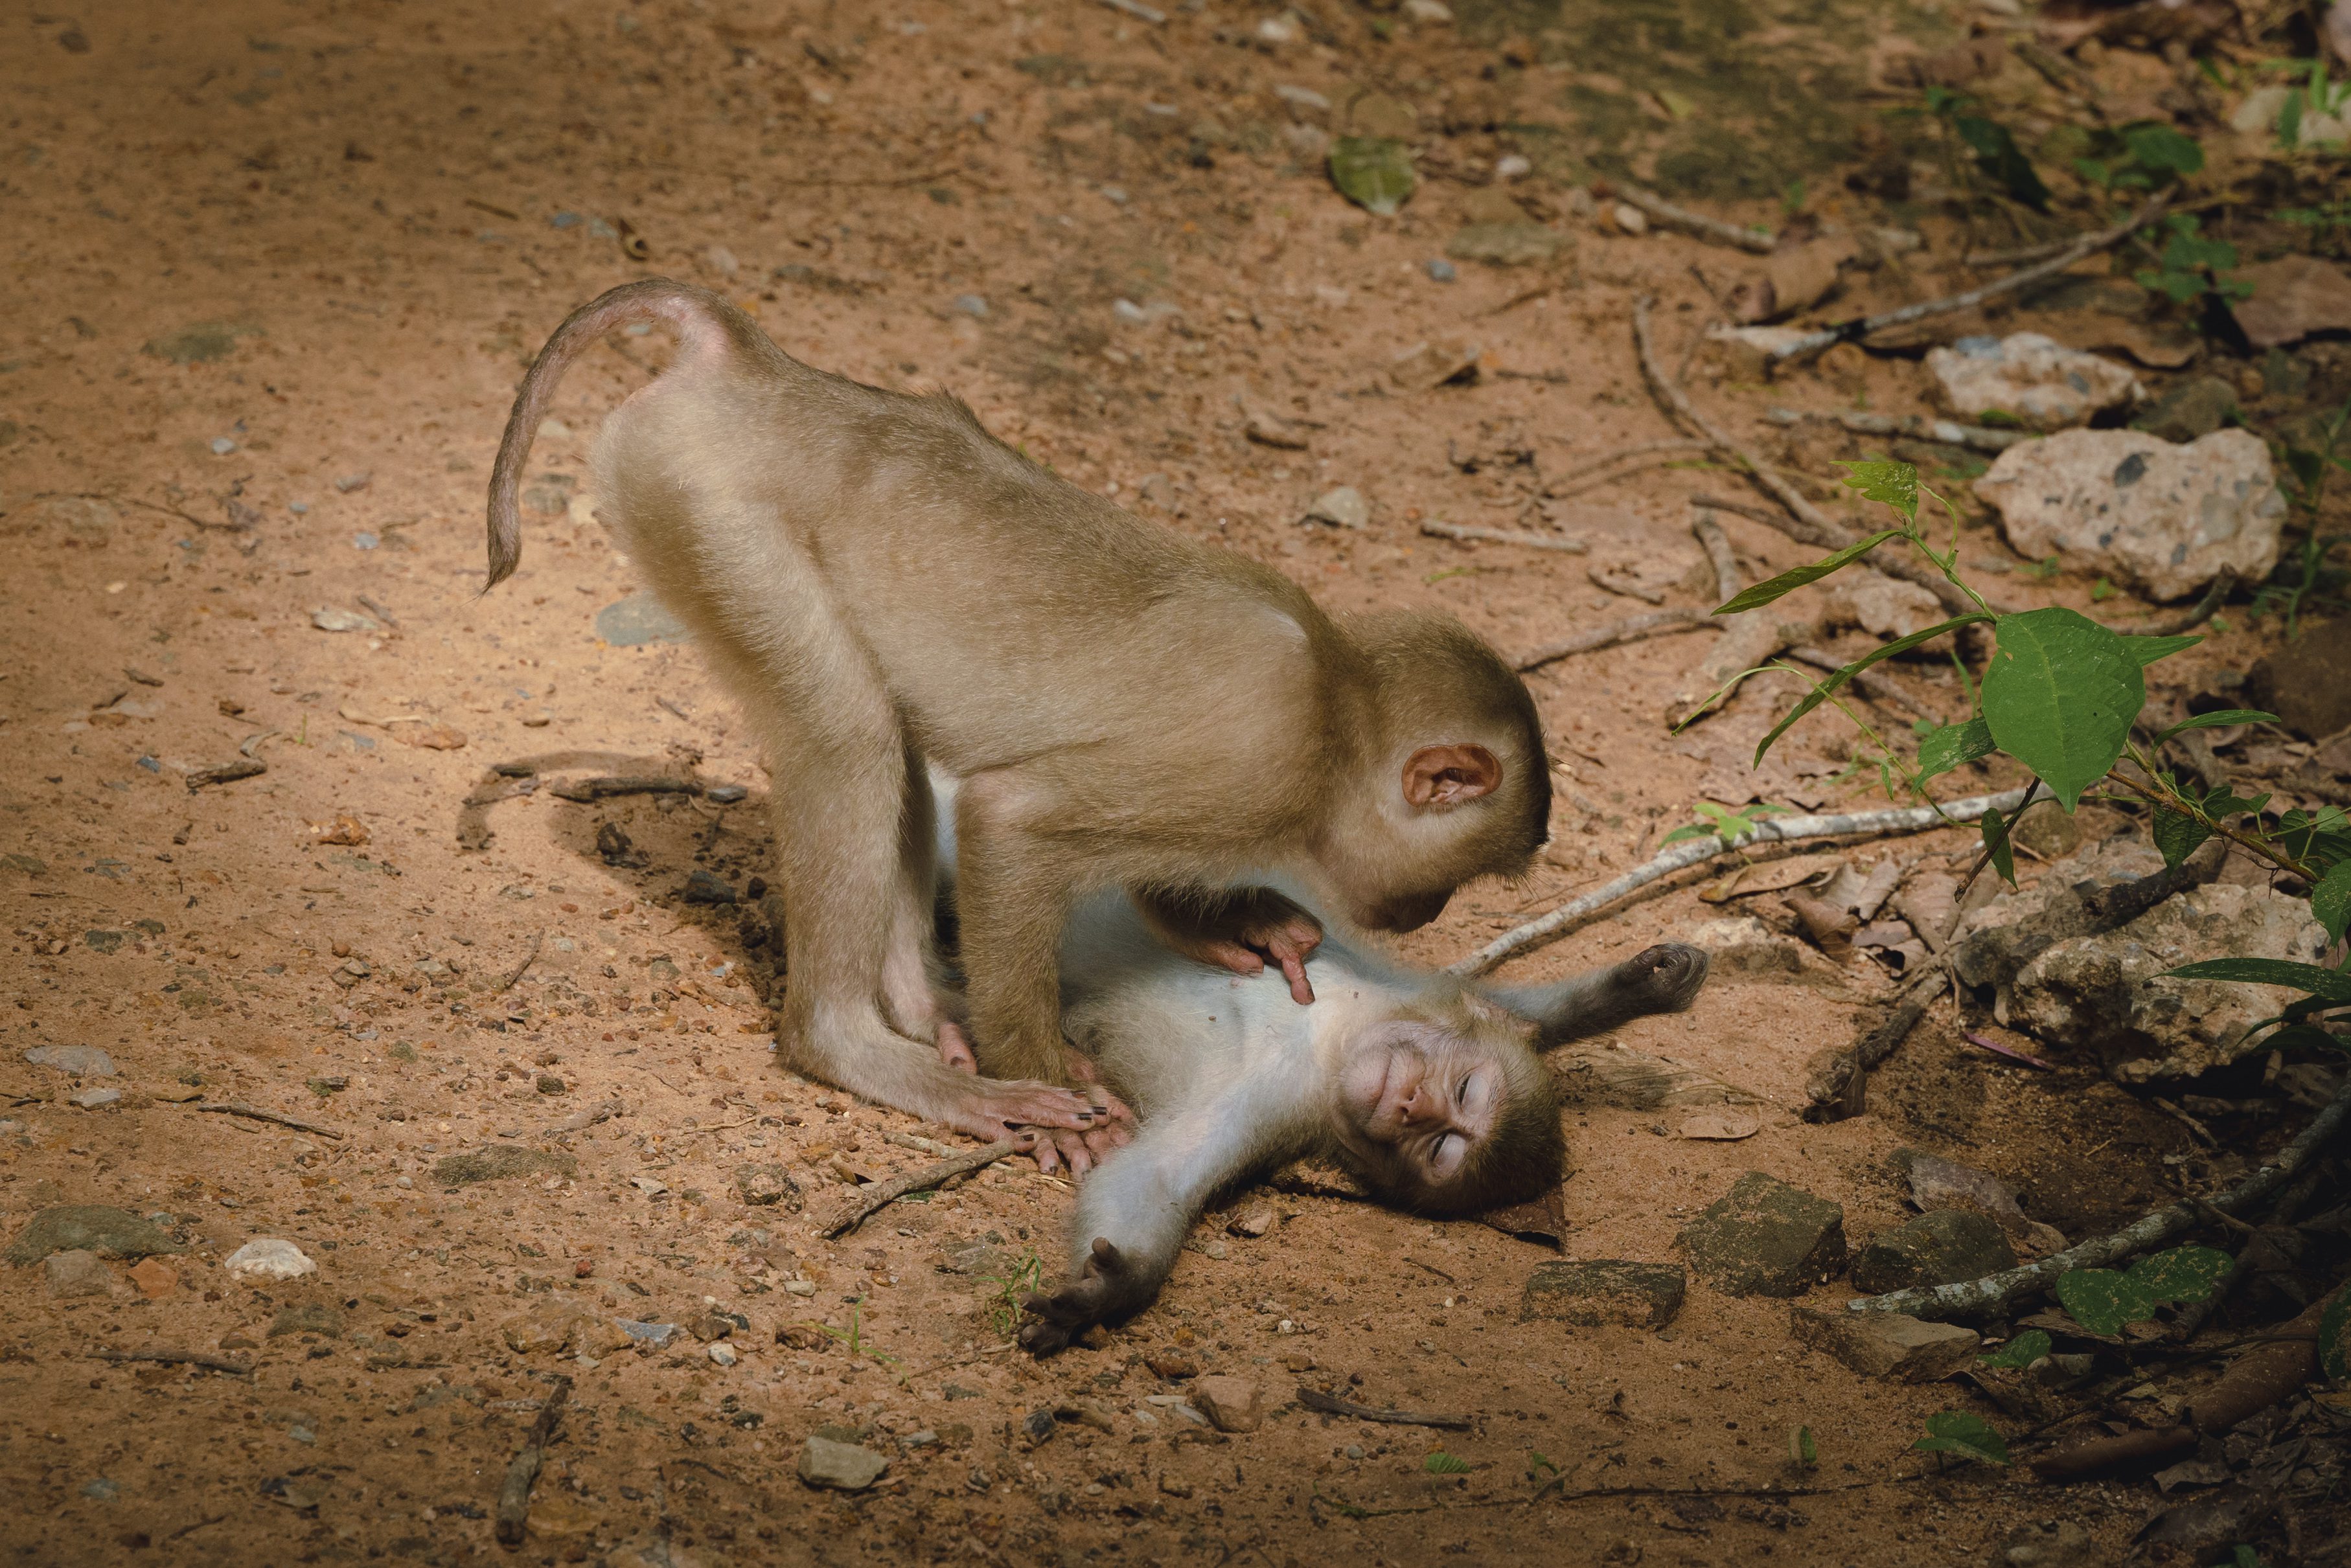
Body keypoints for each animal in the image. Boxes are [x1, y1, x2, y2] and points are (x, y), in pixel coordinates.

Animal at [487, 282, 1552, 1170]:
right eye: (1456, 879)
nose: (1427, 914)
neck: (1337, 705)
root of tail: (749, 366)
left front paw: (1226, 919)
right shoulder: (1261, 766)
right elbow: (1011, 818)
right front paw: (1041, 1071)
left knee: (890, 740)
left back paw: (922, 1004)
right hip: (708, 510)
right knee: (850, 734)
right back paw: (862, 1048)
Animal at [917, 780, 1711, 1354]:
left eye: (1441, 1148)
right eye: (1460, 1090)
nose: (1412, 1105)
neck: (1331, 1040)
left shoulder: (1275, 1103)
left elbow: (1155, 1174)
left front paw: (1106, 1292)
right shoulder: (1384, 988)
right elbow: (1503, 1005)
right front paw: (1638, 986)